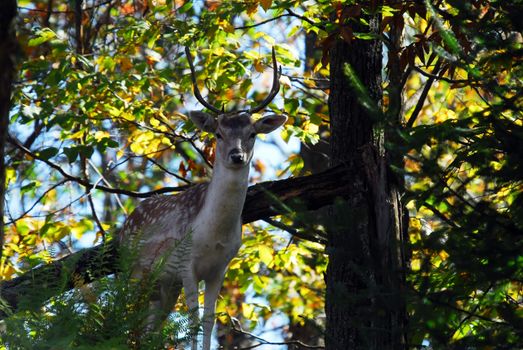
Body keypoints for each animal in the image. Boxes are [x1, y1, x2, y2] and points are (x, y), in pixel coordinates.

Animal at [118, 47, 286, 350]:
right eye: (218, 133)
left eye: (252, 134)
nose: (237, 156)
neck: (213, 234)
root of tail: (124, 224)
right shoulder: (186, 264)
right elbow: (194, 320)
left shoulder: (219, 268)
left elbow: (208, 320)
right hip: (132, 269)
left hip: (162, 286)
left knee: (147, 325)